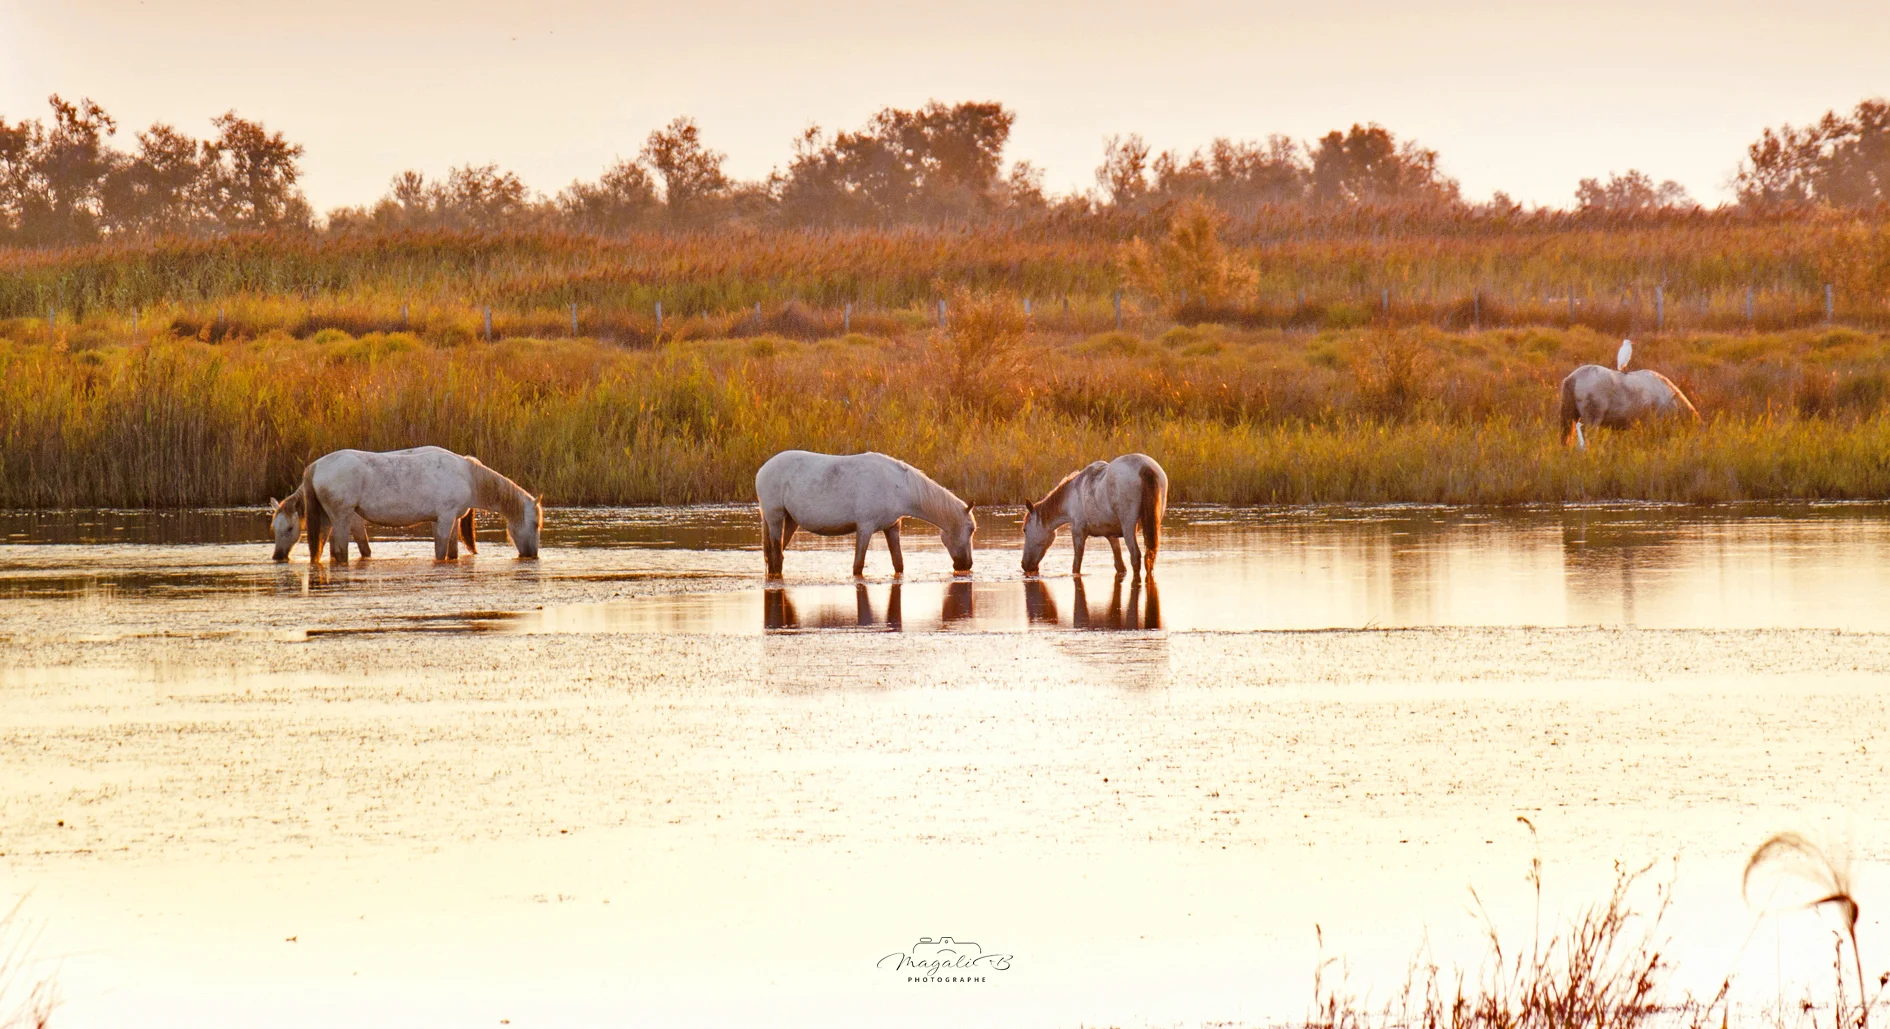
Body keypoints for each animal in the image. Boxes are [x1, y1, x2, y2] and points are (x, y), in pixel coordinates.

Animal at [302, 446, 542, 562]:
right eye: (535, 524)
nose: (532, 555)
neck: (468, 477)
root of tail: (315, 466)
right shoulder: (445, 518)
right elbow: (441, 551)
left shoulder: (447, 519)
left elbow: (451, 551)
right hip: (341, 517)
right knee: (340, 550)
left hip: (328, 518)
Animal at [755, 450, 976, 577]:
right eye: (971, 529)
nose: (966, 564)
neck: (898, 486)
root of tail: (762, 470)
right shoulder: (865, 528)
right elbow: (858, 566)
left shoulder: (892, 527)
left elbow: (899, 564)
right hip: (775, 518)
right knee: (775, 557)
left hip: (790, 521)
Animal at [1021, 453, 1168, 581]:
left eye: (1025, 530)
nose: (1024, 565)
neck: (1070, 496)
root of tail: (1145, 467)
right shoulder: (1111, 535)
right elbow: (1120, 566)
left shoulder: (1078, 532)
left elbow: (1076, 566)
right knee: (1149, 556)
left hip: (1129, 527)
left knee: (1136, 556)